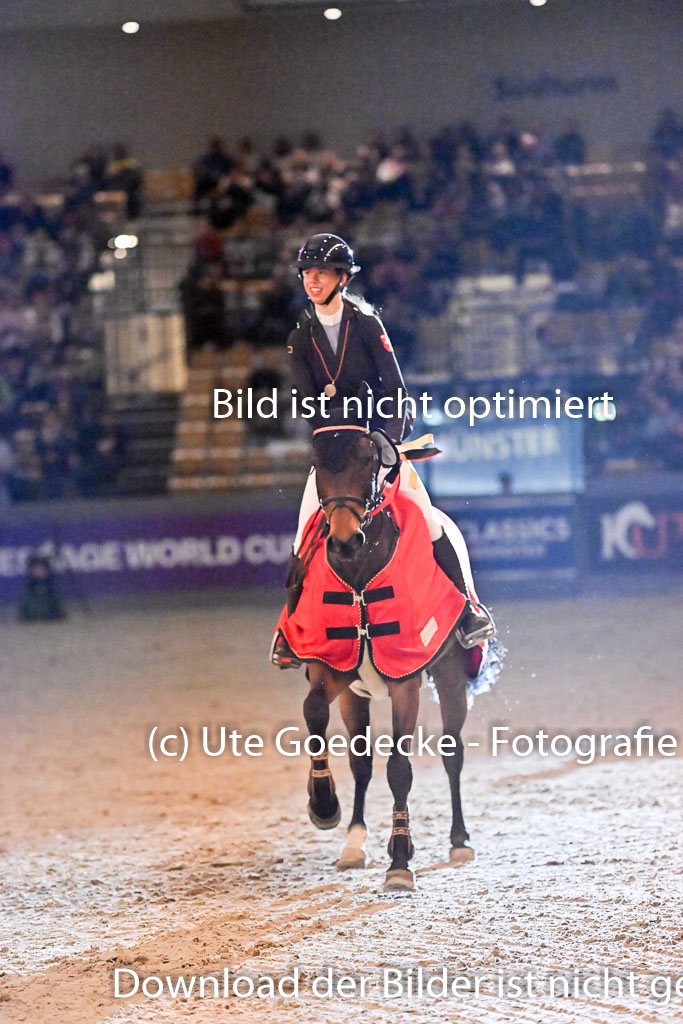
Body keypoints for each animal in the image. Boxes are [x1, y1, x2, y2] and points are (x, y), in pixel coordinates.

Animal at [288, 421, 499, 892]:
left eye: (369, 460)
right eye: (316, 464)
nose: (346, 541)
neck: (360, 572)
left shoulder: (406, 679)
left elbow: (400, 768)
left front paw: (400, 859)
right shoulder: (334, 671)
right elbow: (315, 715)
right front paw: (323, 803)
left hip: (451, 677)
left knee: (452, 753)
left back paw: (460, 840)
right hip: (357, 694)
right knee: (362, 763)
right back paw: (354, 843)